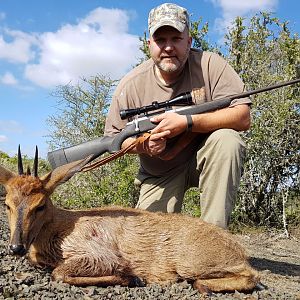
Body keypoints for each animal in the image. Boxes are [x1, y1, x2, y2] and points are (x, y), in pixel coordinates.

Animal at [0, 147, 260, 292]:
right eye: (7, 204)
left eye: (40, 205)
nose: (16, 247)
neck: (61, 227)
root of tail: (237, 248)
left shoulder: (101, 256)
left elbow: (59, 273)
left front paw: (131, 277)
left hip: (191, 264)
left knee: (250, 276)